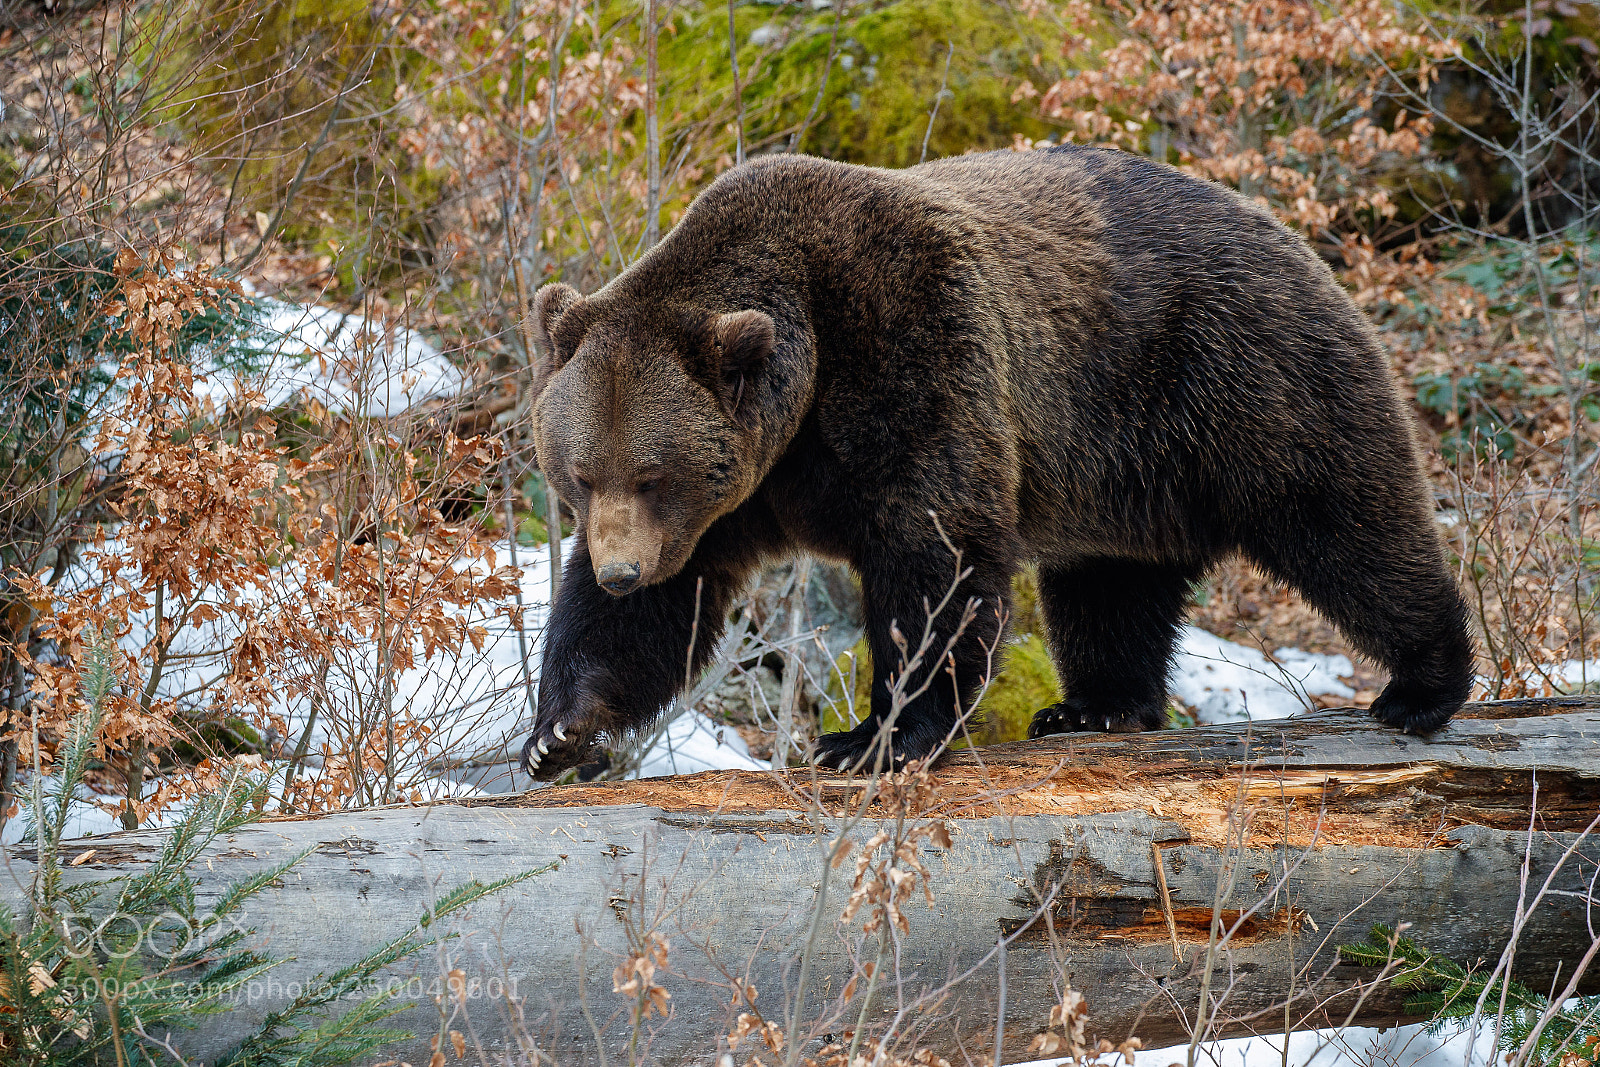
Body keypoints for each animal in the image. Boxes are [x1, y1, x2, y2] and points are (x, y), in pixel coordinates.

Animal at [518, 144, 1475, 779]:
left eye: (653, 473)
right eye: (582, 473)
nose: (621, 568)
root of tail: (1286, 229)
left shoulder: (912, 350)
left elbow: (935, 556)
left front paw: (873, 736)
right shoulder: (741, 495)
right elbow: (660, 613)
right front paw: (559, 731)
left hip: (1239, 376)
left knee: (1343, 518)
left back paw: (1423, 682)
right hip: (1125, 469)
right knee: (1109, 587)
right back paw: (1092, 705)